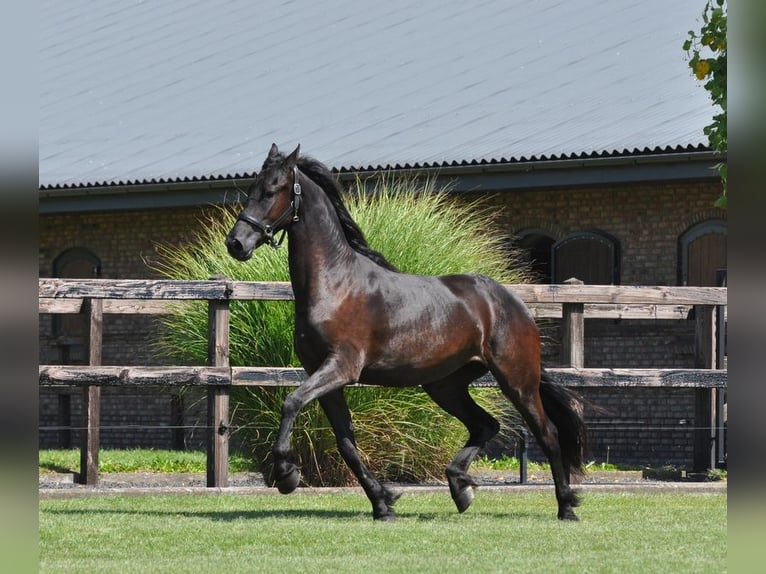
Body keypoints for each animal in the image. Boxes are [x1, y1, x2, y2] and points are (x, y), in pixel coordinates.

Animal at [226, 144, 588, 520]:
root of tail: (512, 302)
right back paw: (460, 488)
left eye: (273, 189)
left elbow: (291, 402)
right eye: (252, 188)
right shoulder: (323, 375)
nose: (236, 243)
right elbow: (346, 442)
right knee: (485, 425)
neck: (334, 284)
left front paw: (287, 475)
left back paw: (566, 506)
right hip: (445, 385)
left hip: (517, 380)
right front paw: (383, 503)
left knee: (547, 434)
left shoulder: (341, 367)